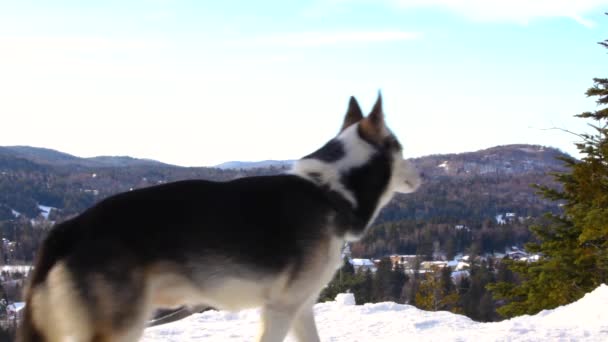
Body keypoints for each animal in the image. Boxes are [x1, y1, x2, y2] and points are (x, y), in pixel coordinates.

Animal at [16, 94, 420, 342]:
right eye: (401, 148)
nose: (420, 177)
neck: (329, 191)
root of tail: (70, 227)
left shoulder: (301, 308)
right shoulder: (280, 308)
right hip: (121, 325)